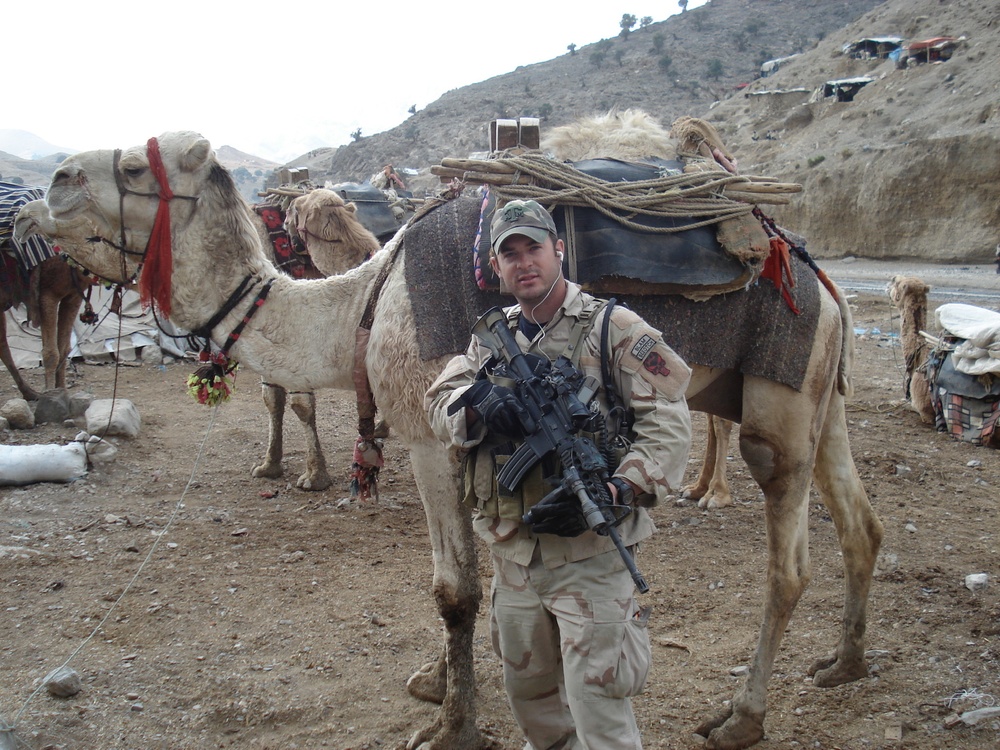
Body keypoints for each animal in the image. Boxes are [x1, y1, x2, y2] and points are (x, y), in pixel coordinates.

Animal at [17, 129, 884, 750]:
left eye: (134, 166)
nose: (46, 187)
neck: (357, 306)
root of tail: (817, 275)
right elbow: (478, 580)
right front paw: (438, 681)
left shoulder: (433, 437)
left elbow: (454, 589)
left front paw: (452, 726)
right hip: (819, 392)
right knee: (862, 525)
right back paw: (843, 663)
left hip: (780, 399)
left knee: (788, 556)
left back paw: (741, 717)